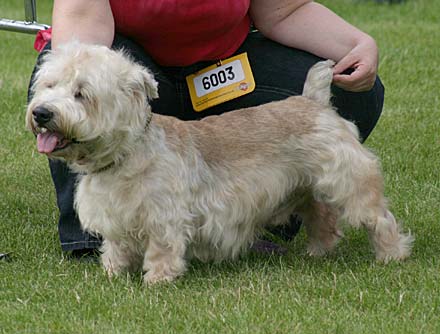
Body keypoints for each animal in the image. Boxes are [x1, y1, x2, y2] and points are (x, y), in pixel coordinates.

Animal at [26, 43, 412, 284]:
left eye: (82, 93)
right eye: (49, 85)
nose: (41, 113)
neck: (125, 155)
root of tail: (314, 101)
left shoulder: (164, 217)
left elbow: (162, 249)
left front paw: (158, 280)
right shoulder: (115, 217)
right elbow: (117, 247)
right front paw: (111, 273)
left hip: (349, 182)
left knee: (379, 219)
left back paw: (392, 255)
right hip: (305, 187)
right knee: (322, 217)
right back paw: (317, 251)